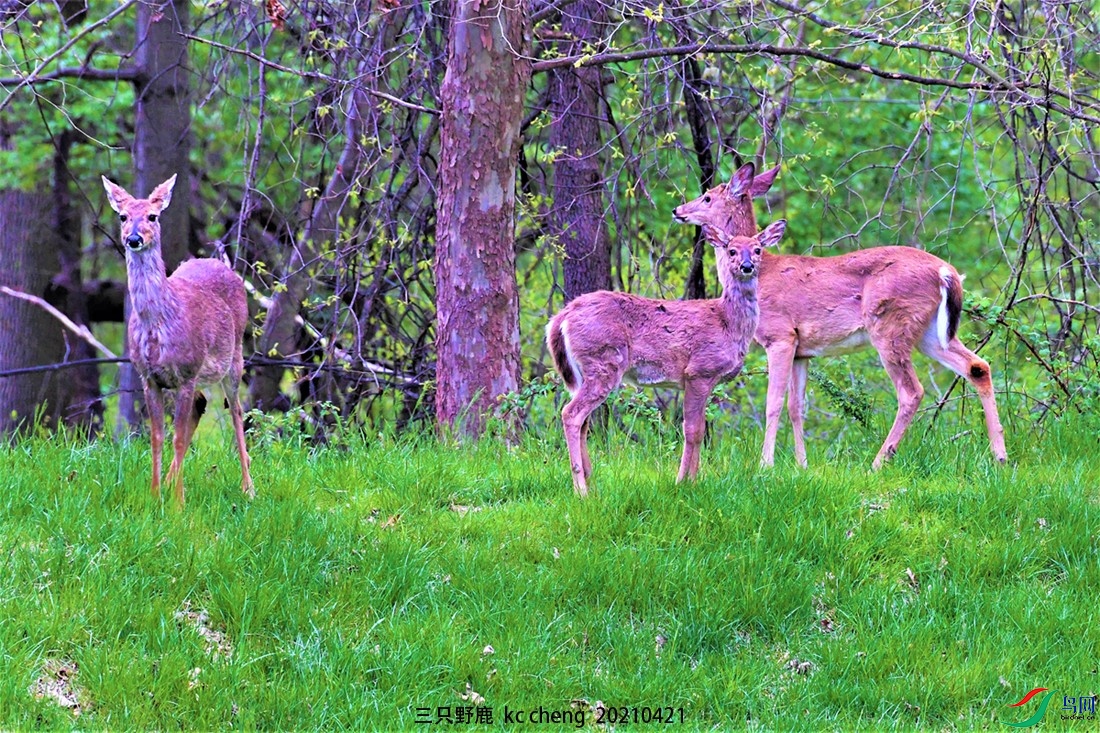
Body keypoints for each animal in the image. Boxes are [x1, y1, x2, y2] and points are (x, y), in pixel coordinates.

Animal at [101, 173, 255, 506]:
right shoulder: (149, 377)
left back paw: (248, 487)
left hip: (234, 357)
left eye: (153, 216)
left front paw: (178, 504)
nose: (134, 239)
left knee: (237, 411)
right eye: (122, 216)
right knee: (202, 404)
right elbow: (158, 436)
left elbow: (179, 438)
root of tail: (223, 264)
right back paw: (173, 480)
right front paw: (155, 494)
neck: (158, 327)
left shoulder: (187, 372)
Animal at [545, 214, 787, 493]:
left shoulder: (706, 379)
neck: (727, 322)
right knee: (571, 414)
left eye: (758, 249)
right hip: (603, 361)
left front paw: (694, 479)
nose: (747, 266)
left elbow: (700, 429)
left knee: (583, 420)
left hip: (583, 371)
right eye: (732, 250)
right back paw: (581, 490)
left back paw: (590, 481)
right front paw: (682, 481)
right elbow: (691, 430)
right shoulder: (698, 371)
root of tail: (561, 317)